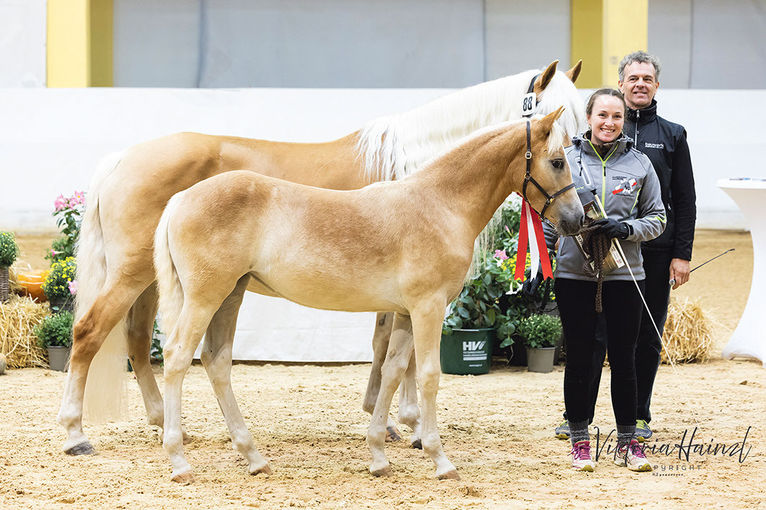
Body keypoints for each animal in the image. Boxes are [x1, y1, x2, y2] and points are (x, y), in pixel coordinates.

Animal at [153, 108, 584, 482]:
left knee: (217, 361)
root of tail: (179, 200)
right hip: (206, 298)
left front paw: (378, 455)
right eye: (558, 161)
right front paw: (440, 459)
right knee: (177, 357)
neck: (439, 204)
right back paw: (179, 461)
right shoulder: (428, 308)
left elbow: (392, 372)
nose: (578, 219)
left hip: (230, 296)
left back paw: (254, 457)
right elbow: (428, 376)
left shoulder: (406, 313)